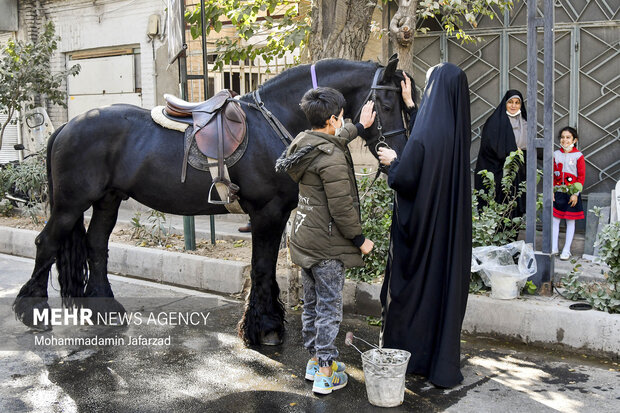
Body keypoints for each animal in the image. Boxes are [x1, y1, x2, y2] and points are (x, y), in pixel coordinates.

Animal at [13, 54, 412, 344]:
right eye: (386, 103)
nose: (398, 152)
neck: (277, 120)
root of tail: (68, 126)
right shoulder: (267, 213)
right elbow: (262, 267)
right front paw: (265, 329)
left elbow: (266, 267)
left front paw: (265, 324)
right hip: (70, 205)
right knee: (46, 243)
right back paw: (30, 312)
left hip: (107, 200)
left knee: (96, 246)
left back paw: (105, 312)